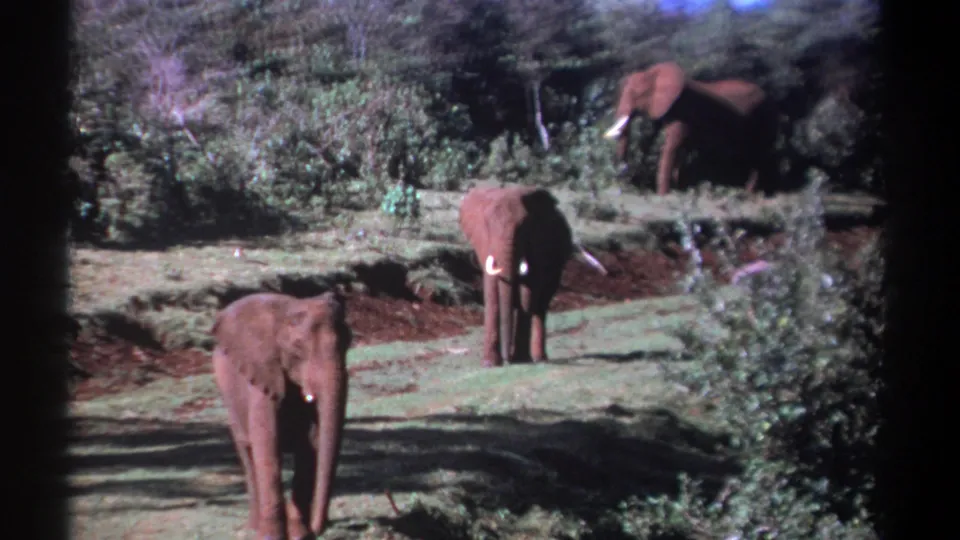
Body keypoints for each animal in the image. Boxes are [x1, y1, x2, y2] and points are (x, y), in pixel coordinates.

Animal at [210, 290, 352, 540]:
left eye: (349, 342)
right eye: (297, 347)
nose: (319, 528)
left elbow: (310, 446)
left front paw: (300, 535)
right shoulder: (262, 375)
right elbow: (267, 445)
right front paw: (272, 537)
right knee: (247, 453)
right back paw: (254, 528)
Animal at [459, 185, 602, 367]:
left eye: (523, 228)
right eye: (488, 227)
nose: (507, 359)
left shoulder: (537, 246)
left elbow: (528, 291)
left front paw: (520, 359)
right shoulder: (484, 245)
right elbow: (492, 293)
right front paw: (490, 364)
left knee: (541, 306)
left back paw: (539, 358)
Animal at [603, 62, 779, 196]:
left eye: (636, 94)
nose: (622, 183)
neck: (655, 72)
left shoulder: (682, 109)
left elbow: (673, 145)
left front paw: (663, 195)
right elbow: (670, 144)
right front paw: (677, 189)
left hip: (764, 119)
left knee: (759, 156)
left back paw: (750, 194)